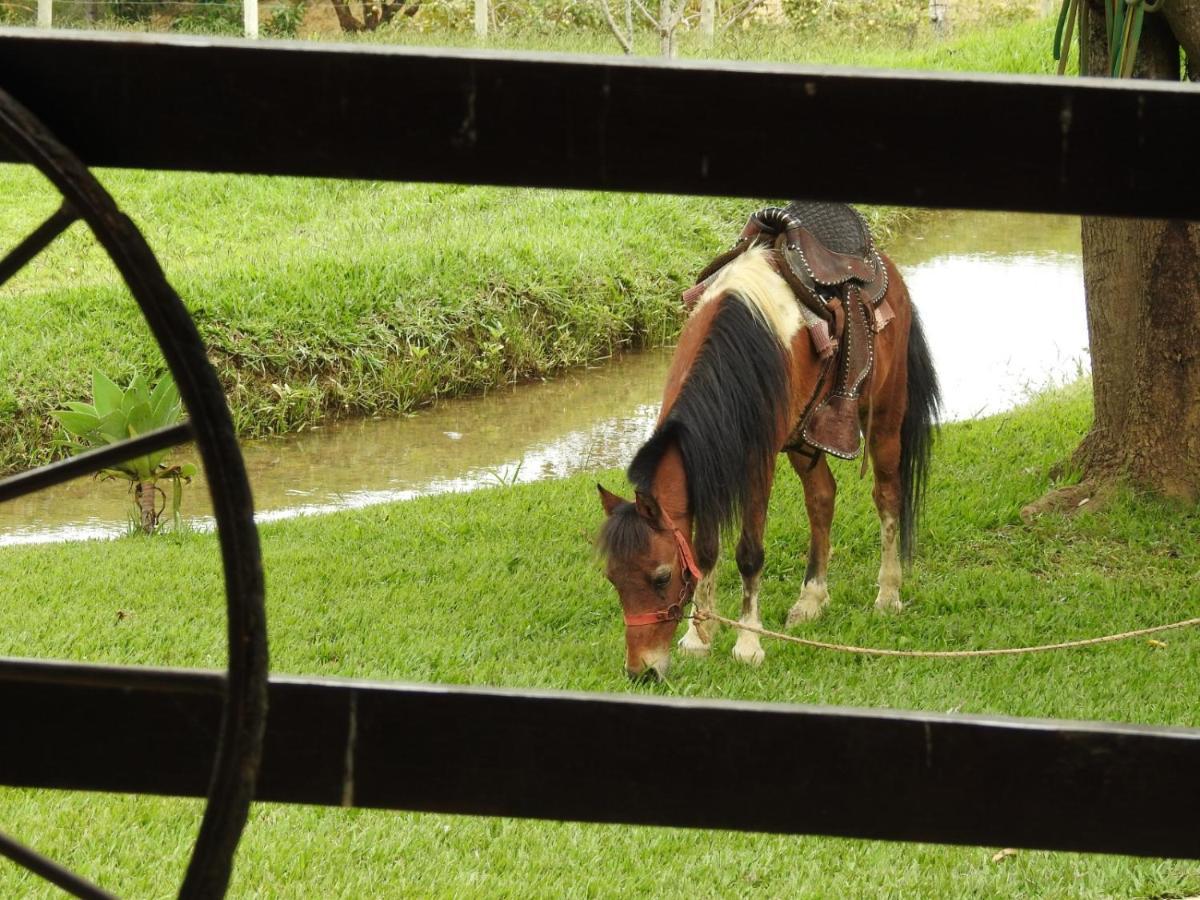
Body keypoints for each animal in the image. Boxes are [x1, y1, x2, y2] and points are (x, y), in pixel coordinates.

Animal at [595, 207, 940, 681]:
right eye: (613, 579)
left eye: (661, 577)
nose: (641, 671)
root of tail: (887, 268)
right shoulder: (711, 465)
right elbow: (705, 551)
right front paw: (699, 638)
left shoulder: (758, 462)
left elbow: (749, 554)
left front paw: (748, 645)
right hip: (803, 440)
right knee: (822, 498)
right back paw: (810, 600)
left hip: (885, 416)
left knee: (888, 496)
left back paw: (888, 595)